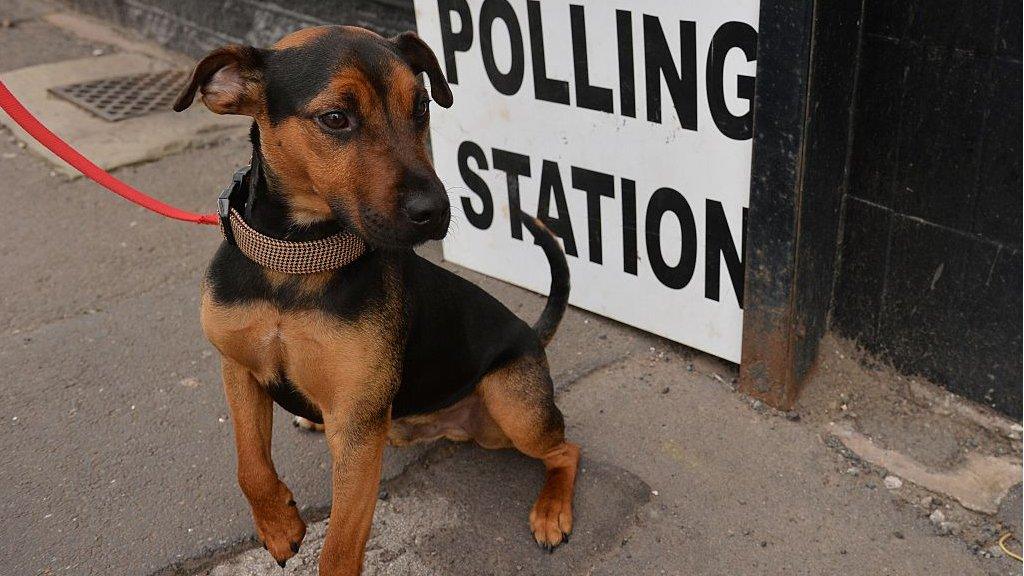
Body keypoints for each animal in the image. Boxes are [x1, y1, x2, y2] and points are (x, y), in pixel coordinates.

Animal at [172, 24, 581, 569]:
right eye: (335, 118)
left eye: (422, 107)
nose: (435, 211)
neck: (297, 261)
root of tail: (532, 336)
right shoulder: (239, 369)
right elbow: (250, 465)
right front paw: (278, 524)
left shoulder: (358, 426)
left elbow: (340, 548)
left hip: (513, 408)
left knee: (567, 451)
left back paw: (552, 511)